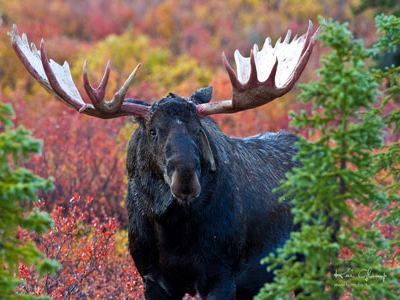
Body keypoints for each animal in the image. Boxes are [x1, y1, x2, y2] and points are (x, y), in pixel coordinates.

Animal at [9, 23, 320, 300]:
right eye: (152, 130)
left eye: (198, 129)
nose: (185, 178)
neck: (172, 232)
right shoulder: (152, 278)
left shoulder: (222, 275)